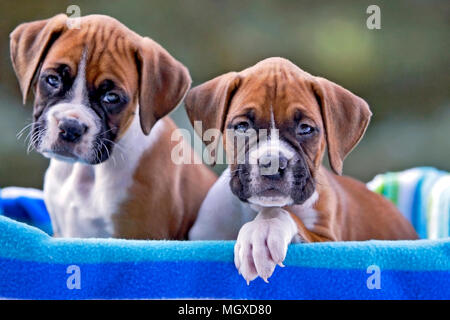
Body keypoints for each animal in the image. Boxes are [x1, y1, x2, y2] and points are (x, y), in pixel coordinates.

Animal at [185, 57, 416, 282]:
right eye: (242, 126)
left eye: (305, 128)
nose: (272, 163)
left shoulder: (329, 241)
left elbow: (279, 213)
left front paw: (261, 231)